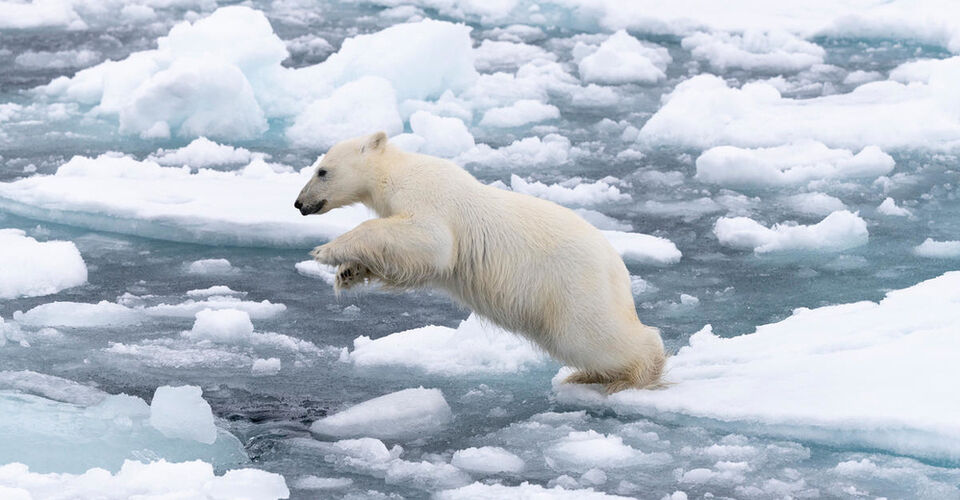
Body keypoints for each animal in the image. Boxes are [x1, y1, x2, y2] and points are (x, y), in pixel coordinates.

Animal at [295, 132, 666, 393]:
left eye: (322, 171)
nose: (299, 203)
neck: (395, 172)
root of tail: (618, 268)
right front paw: (348, 272)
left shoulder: (429, 195)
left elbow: (430, 241)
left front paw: (326, 250)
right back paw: (588, 376)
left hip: (573, 286)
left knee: (591, 335)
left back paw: (634, 374)